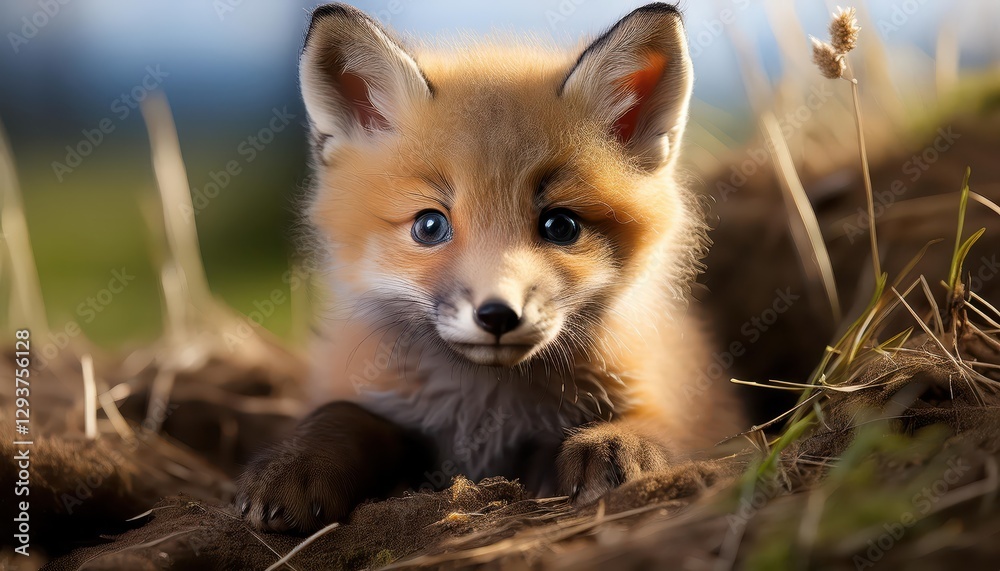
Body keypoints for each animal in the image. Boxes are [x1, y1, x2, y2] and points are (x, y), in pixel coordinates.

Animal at [237, 2, 746, 533]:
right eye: (430, 226)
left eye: (560, 225)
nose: (498, 315)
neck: (485, 409)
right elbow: (344, 415)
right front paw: (296, 461)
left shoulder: (695, 404)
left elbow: (661, 425)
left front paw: (617, 446)